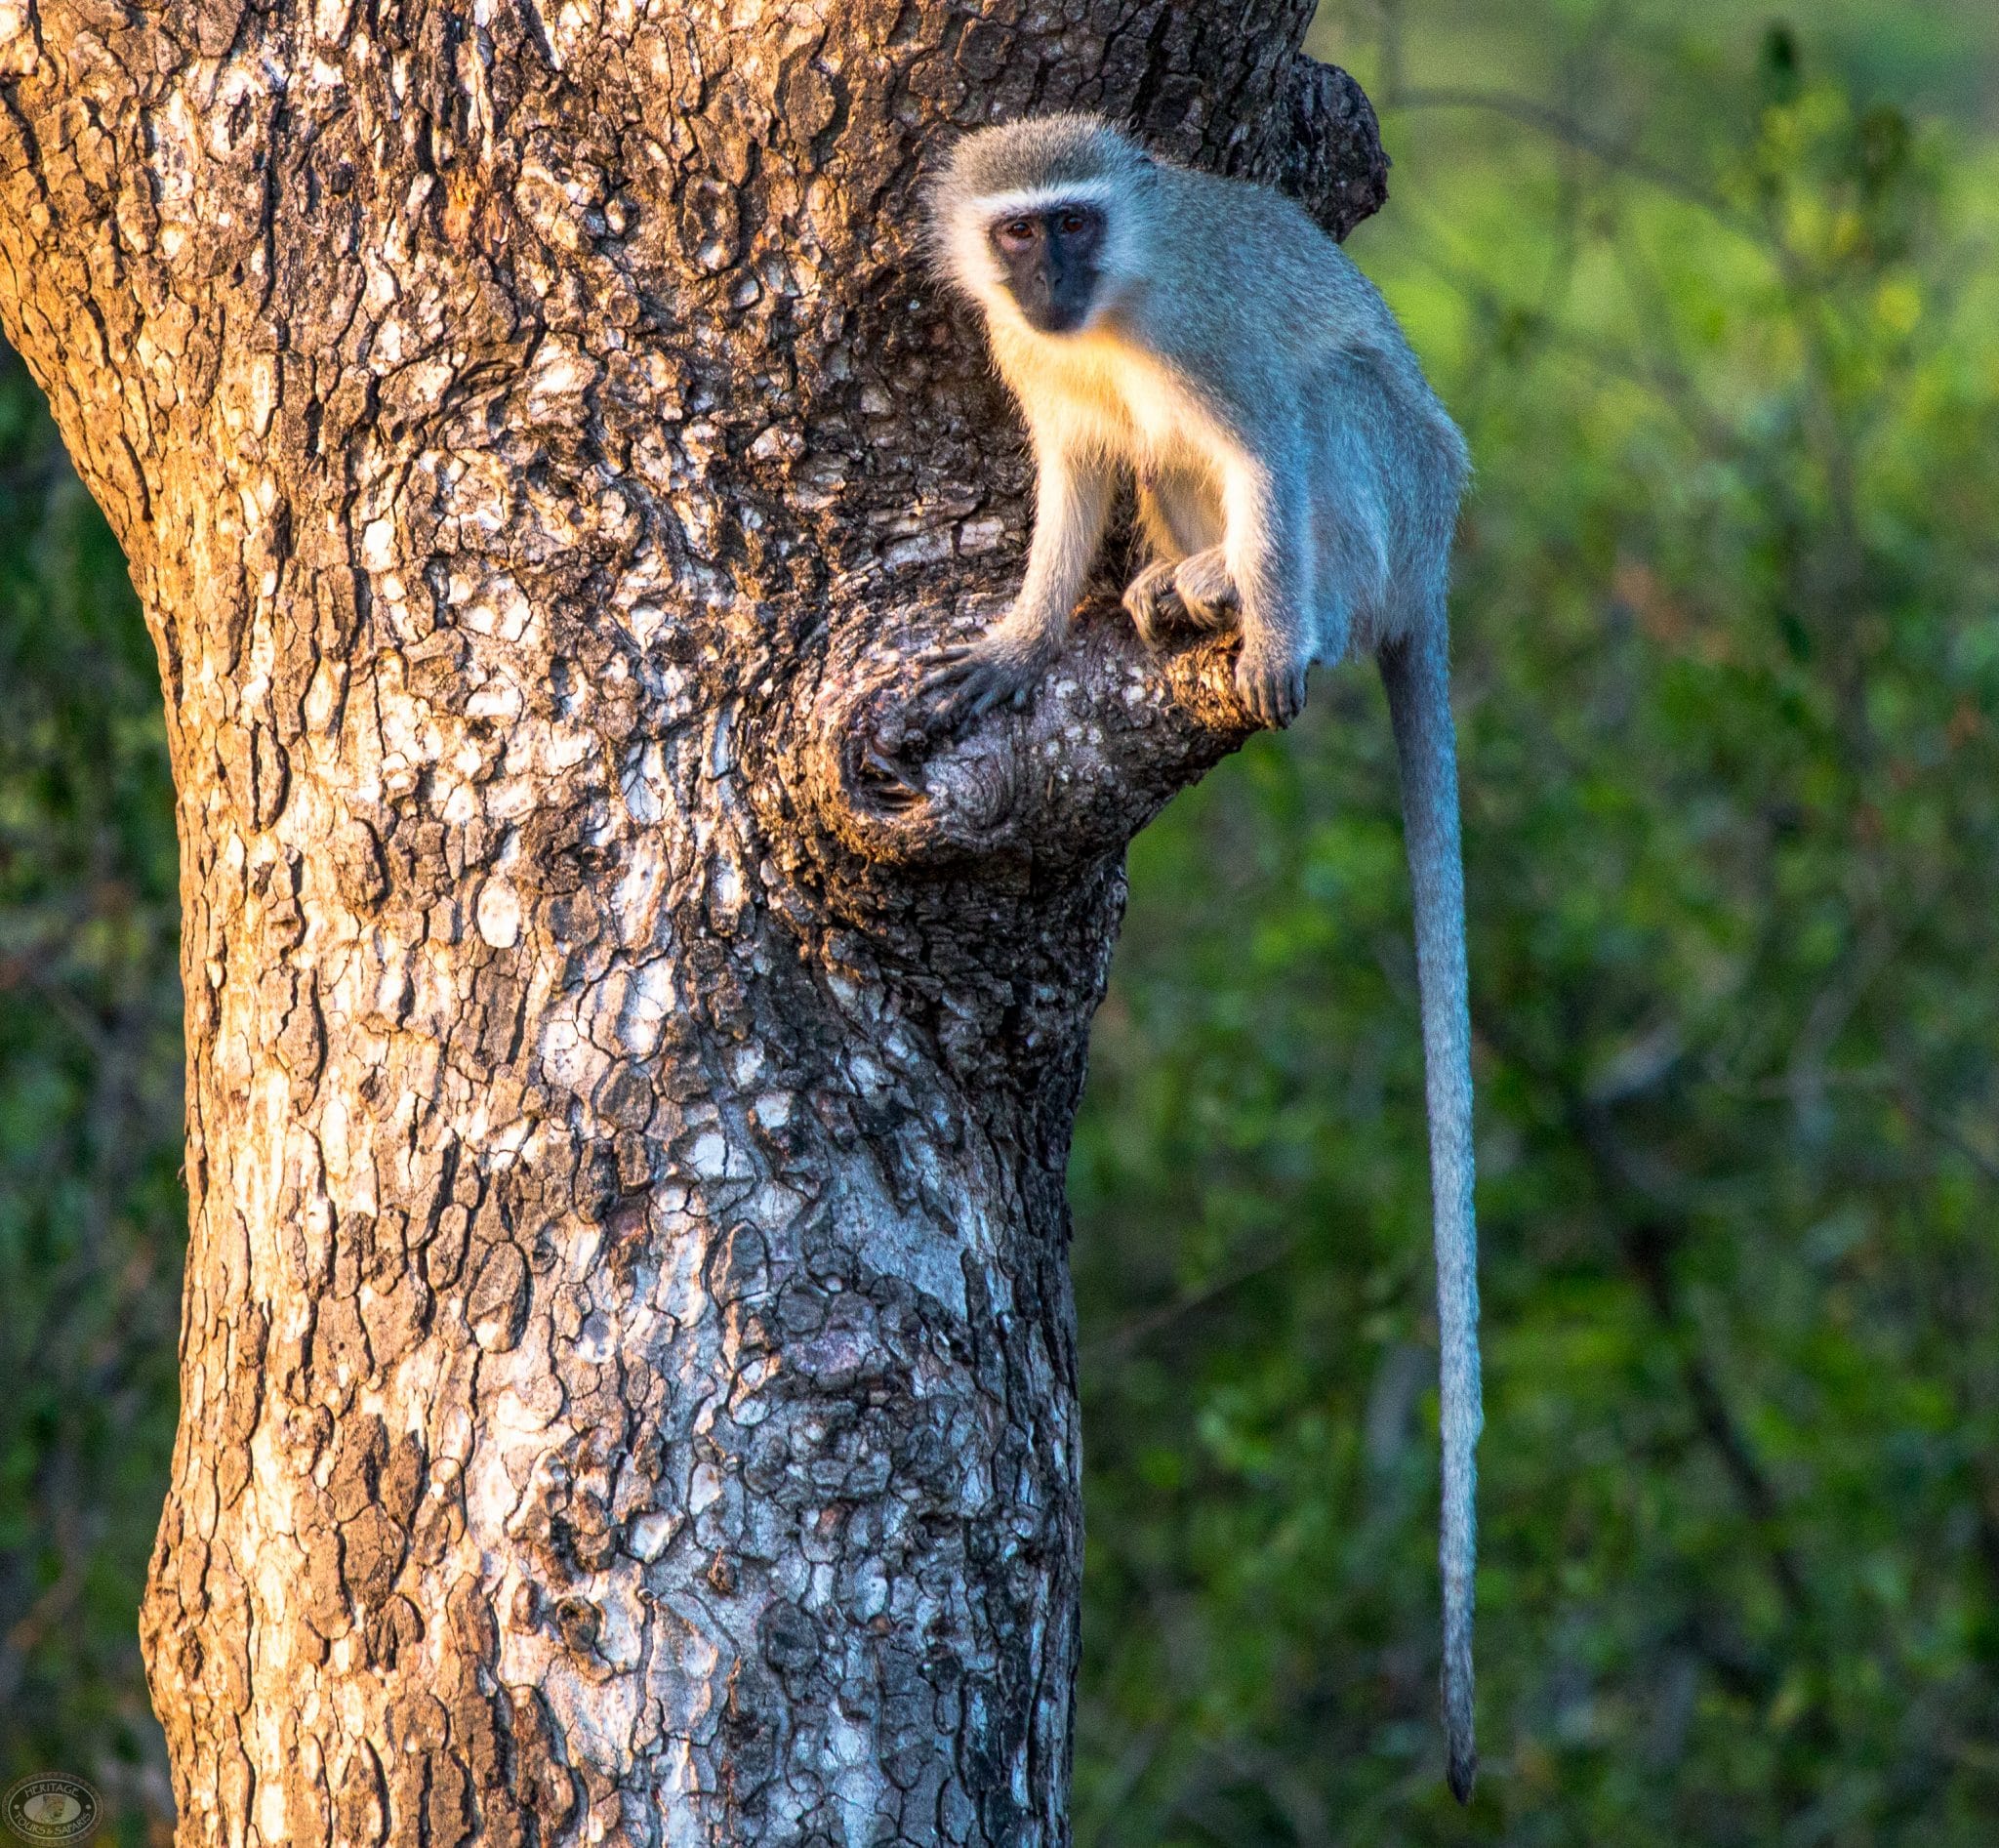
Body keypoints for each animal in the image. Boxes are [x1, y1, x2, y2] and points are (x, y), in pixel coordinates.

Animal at [918, 113, 1482, 1802]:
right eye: (1017, 234)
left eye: (1075, 226)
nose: (1046, 279)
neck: (1107, 312)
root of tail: (1433, 564)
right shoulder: (1033, 365)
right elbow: (1073, 472)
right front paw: (1020, 641)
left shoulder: (1214, 343)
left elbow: (1270, 441)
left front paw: (1274, 629)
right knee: (1158, 466)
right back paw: (1179, 589)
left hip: (1392, 496)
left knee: (1322, 413)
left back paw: (1255, 601)